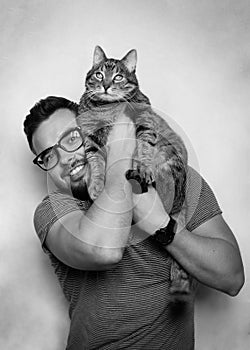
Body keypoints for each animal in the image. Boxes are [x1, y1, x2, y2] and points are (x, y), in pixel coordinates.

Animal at [78, 46, 193, 298]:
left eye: (118, 77)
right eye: (99, 74)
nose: (106, 85)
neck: (105, 109)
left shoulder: (145, 120)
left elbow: (143, 146)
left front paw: (142, 167)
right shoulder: (90, 139)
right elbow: (95, 161)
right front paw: (96, 185)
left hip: (169, 158)